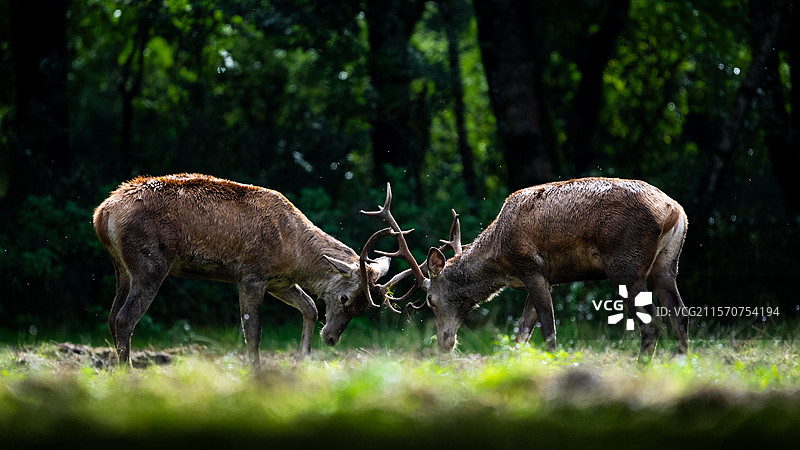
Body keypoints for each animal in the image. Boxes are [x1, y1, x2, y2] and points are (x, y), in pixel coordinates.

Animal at [93, 173, 393, 368]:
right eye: (345, 298)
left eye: (364, 307)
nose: (331, 338)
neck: (294, 254)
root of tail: (102, 212)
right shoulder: (251, 274)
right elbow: (253, 332)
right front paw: (256, 372)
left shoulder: (280, 282)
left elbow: (310, 307)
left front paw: (303, 359)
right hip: (150, 263)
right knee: (125, 318)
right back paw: (128, 373)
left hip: (122, 266)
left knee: (111, 317)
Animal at [360, 178, 689, 359]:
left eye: (429, 300)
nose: (445, 342)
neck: (501, 261)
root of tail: (674, 210)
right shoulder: (542, 276)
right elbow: (521, 332)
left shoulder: (530, 267)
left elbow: (549, 332)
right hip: (666, 264)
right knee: (680, 315)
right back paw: (682, 365)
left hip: (626, 264)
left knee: (652, 325)